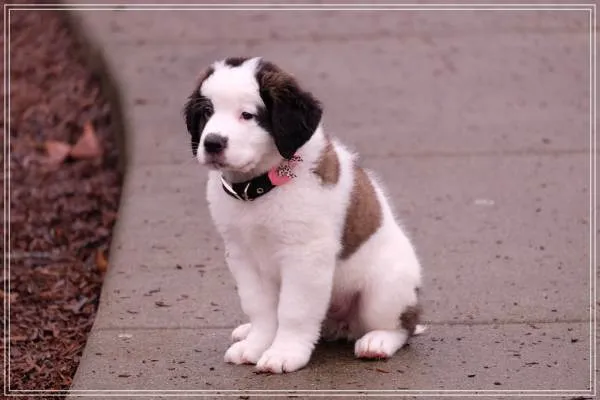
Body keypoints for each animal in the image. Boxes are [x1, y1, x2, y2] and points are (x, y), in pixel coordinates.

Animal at [183, 57, 423, 374]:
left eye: (247, 115)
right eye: (207, 112)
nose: (212, 143)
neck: (260, 186)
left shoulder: (304, 255)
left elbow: (293, 310)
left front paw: (284, 352)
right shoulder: (241, 255)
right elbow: (260, 307)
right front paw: (256, 344)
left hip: (384, 291)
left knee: (402, 325)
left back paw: (378, 341)